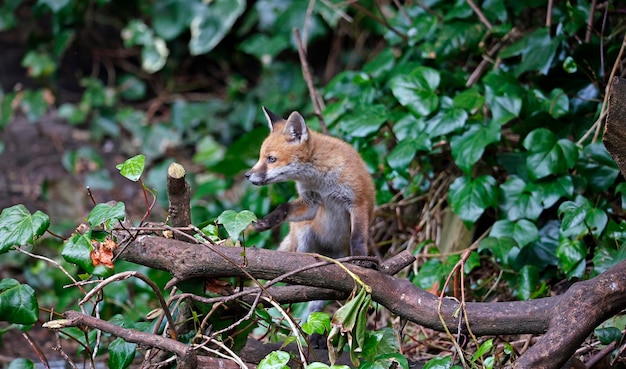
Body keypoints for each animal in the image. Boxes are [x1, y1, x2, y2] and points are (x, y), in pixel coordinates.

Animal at [244, 107, 372, 262]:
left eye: (271, 159)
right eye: (260, 157)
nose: (247, 175)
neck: (322, 183)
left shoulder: (358, 201)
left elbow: (357, 238)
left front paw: (361, 260)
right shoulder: (311, 202)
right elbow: (284, 206)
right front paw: (267, 221)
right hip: (304, 234)